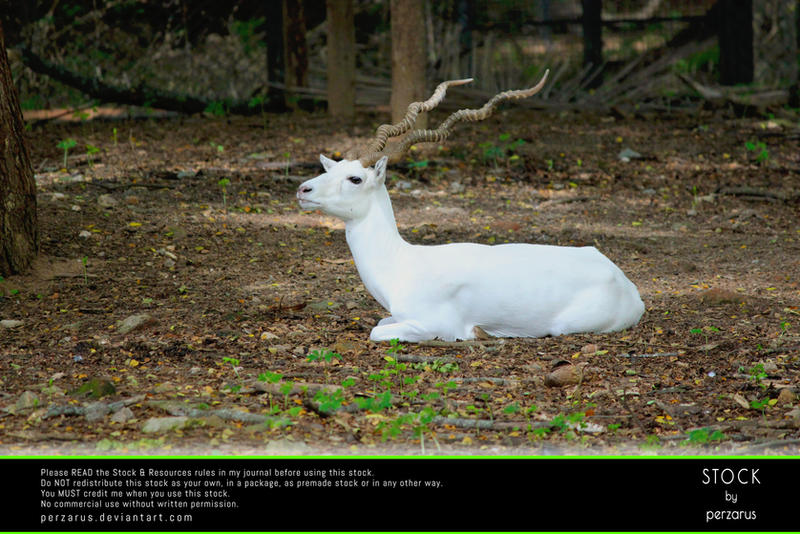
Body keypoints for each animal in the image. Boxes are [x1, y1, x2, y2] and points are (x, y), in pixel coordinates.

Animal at [298, 71, 644, 342]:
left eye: (355, 178)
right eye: (333, 168)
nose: (303, 190)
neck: (401, 263)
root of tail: (627, 285)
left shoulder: (433, 325)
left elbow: (376, 330)